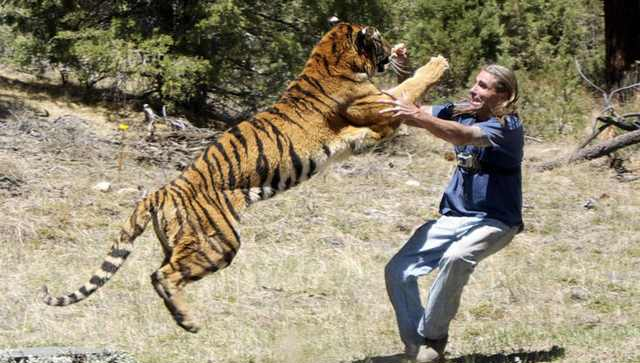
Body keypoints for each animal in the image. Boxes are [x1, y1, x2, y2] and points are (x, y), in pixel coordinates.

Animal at [41, 22, 450, 332]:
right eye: (379, 39)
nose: (396, 48)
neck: (329, 56)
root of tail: (160, 192)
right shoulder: (384, 110)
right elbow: (409, 87)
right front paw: (437, 63)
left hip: (181, 242)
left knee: (160, 272)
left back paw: (181, 319)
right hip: (219, 241)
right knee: (163, 276)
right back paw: (189, 322)